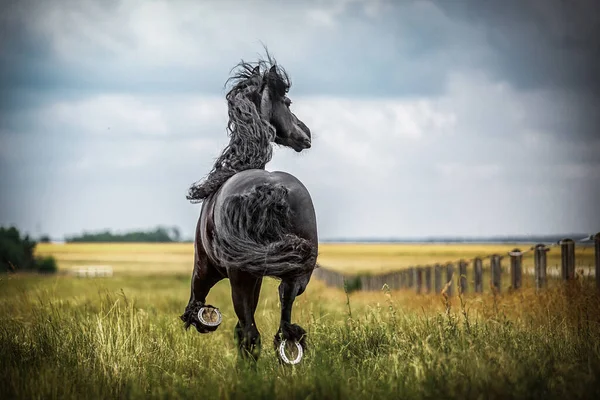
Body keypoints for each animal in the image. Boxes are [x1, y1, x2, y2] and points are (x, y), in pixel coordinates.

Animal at [179, 51, 316, 364]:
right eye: (288, 103)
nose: (307, 133)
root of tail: (271, 188)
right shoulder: (256, 276)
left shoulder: (206, 269)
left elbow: (199, 302)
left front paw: (201, 320)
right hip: (295, 272)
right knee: (283, 315)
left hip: (236, 276)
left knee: (248, 332)